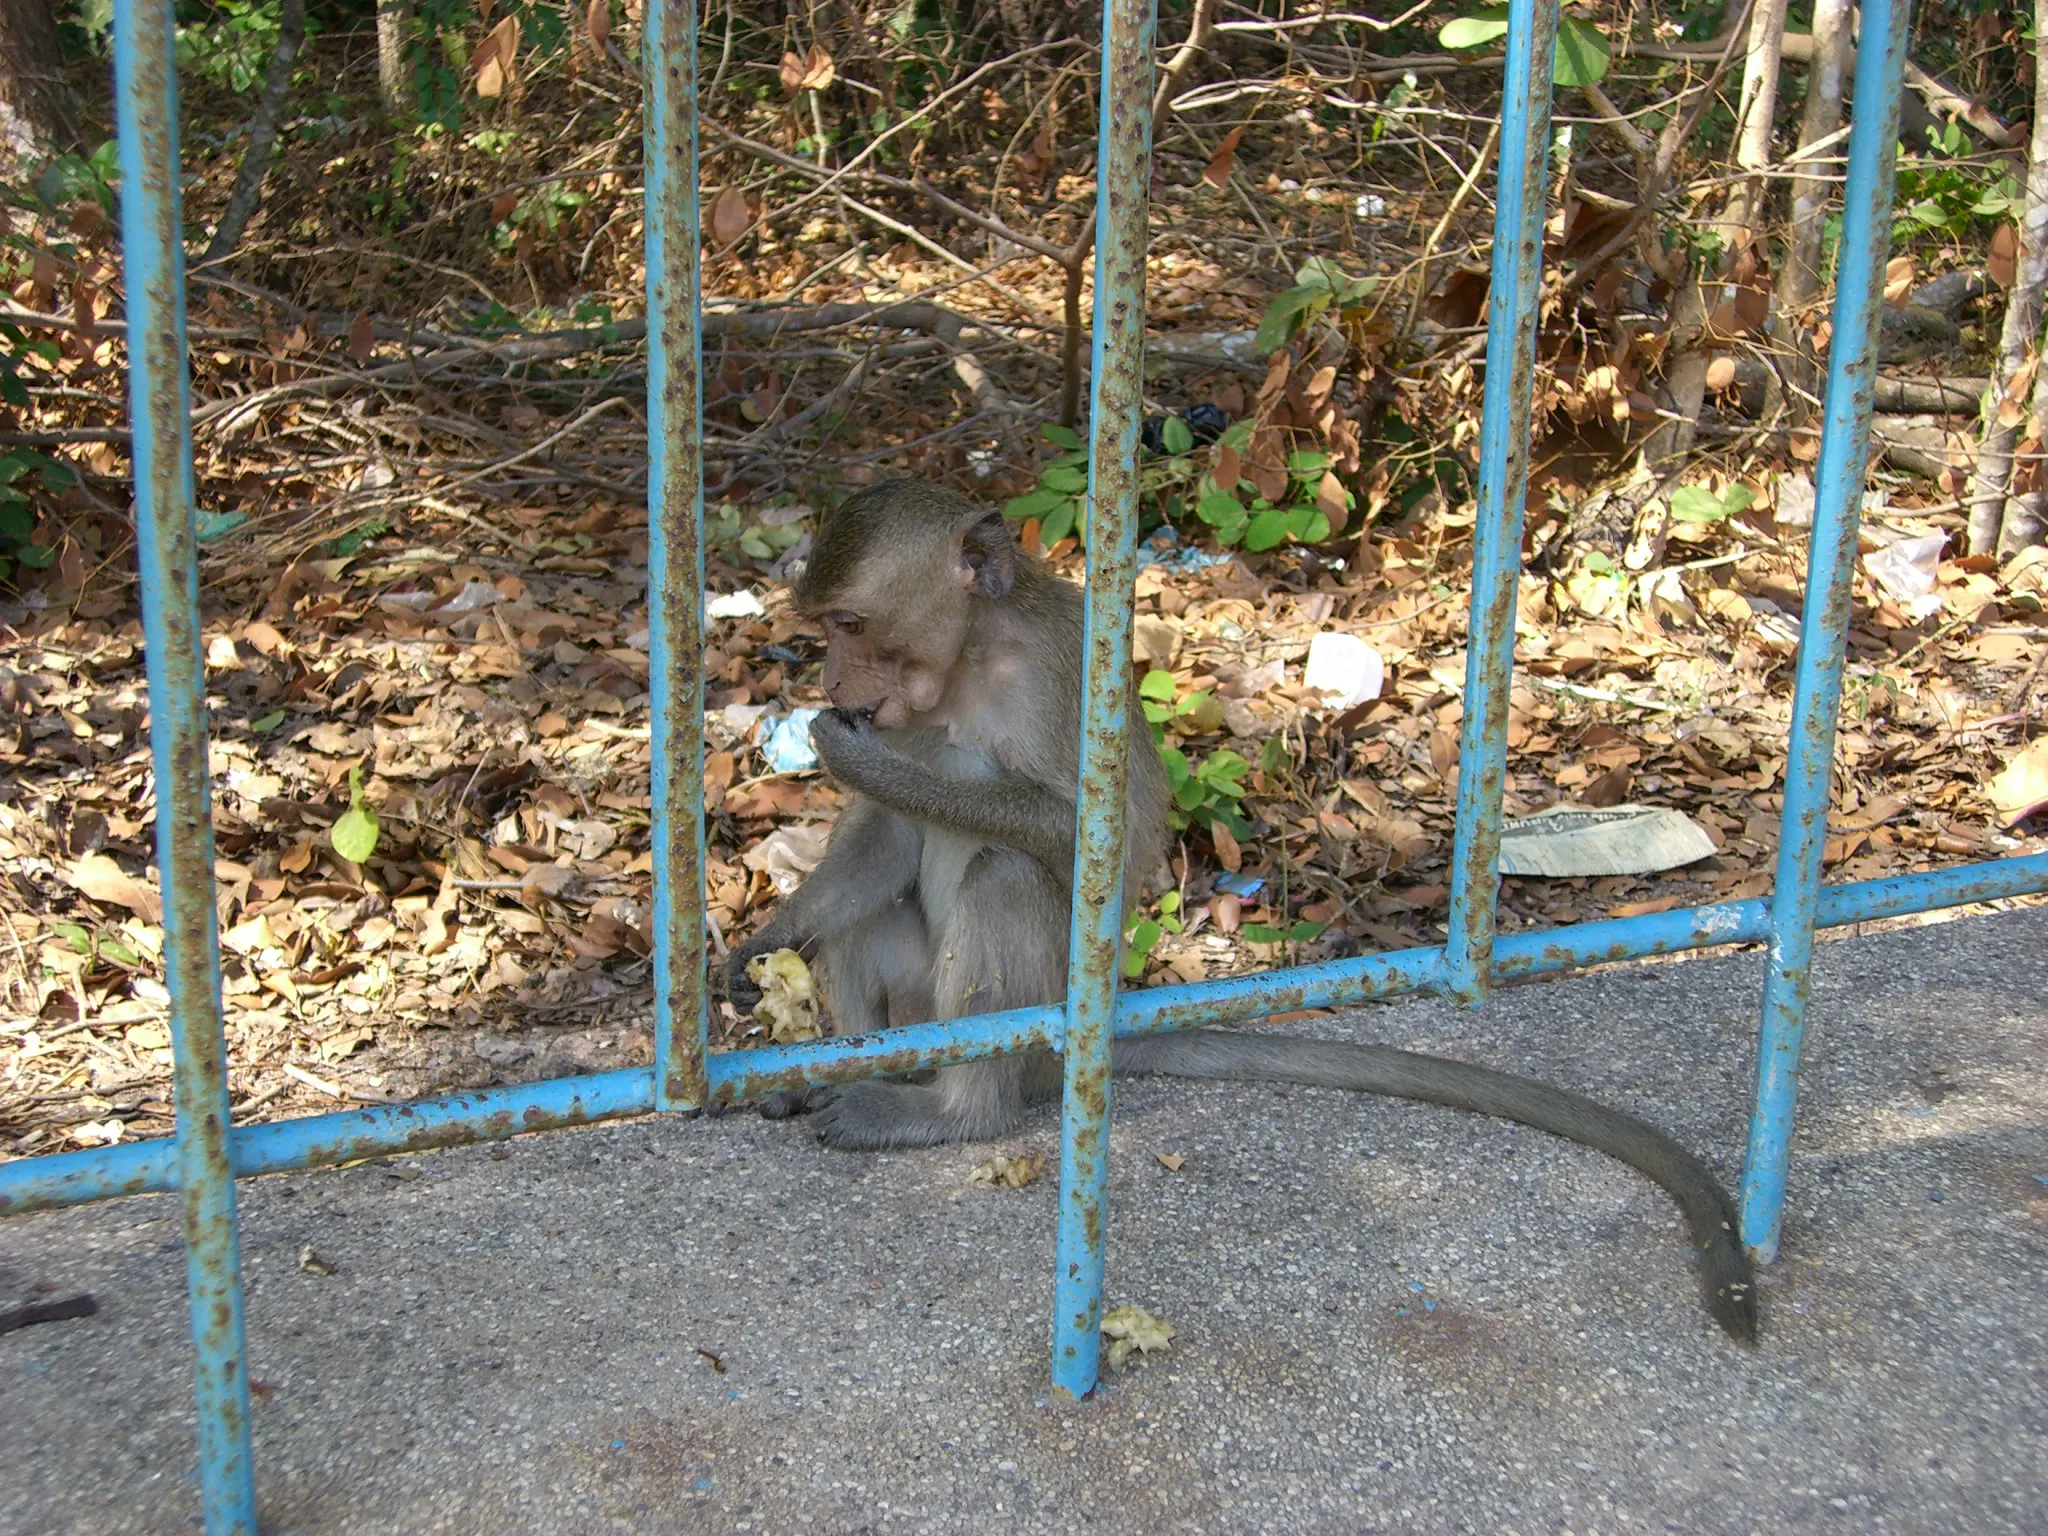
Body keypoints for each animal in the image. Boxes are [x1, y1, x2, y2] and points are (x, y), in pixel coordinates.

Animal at [725, 478, 1756, 1345]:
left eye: (852, 623)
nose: (831, 687)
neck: (971, 663)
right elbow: (885, 844)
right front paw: (767, 939)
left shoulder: (1058, 673)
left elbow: (1082, 829)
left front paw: (859, 761)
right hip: (921, 1012)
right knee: (873, 915)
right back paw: (847, 1064)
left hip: (1036, 1016)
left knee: (1001, 878)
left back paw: (949, 1113)